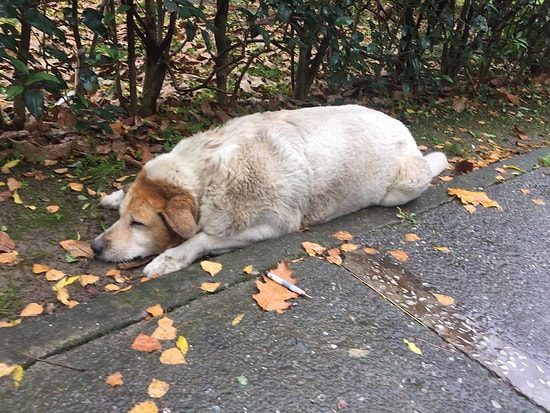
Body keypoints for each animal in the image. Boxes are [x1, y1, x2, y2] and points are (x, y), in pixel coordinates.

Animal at [92, 104, 448, 276]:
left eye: (138, 223)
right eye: (123, 217)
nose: (94, 247)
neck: (207, 175)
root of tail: (407, 133)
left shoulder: (268, 226)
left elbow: (202, 237)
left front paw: (170, 259)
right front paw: (115, 195)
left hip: (403, 186)